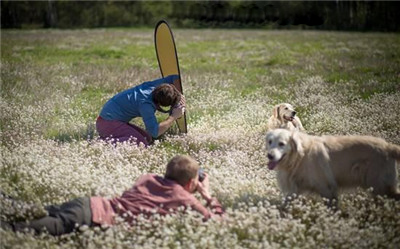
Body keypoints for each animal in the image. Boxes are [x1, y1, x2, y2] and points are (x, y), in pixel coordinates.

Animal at [266, 128, 400, 206]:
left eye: (281, 144)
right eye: (269, 142)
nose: (269, 155)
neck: (300, 156)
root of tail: (388, 146)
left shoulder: (327, 189)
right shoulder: (295, 189)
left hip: (378, 185)